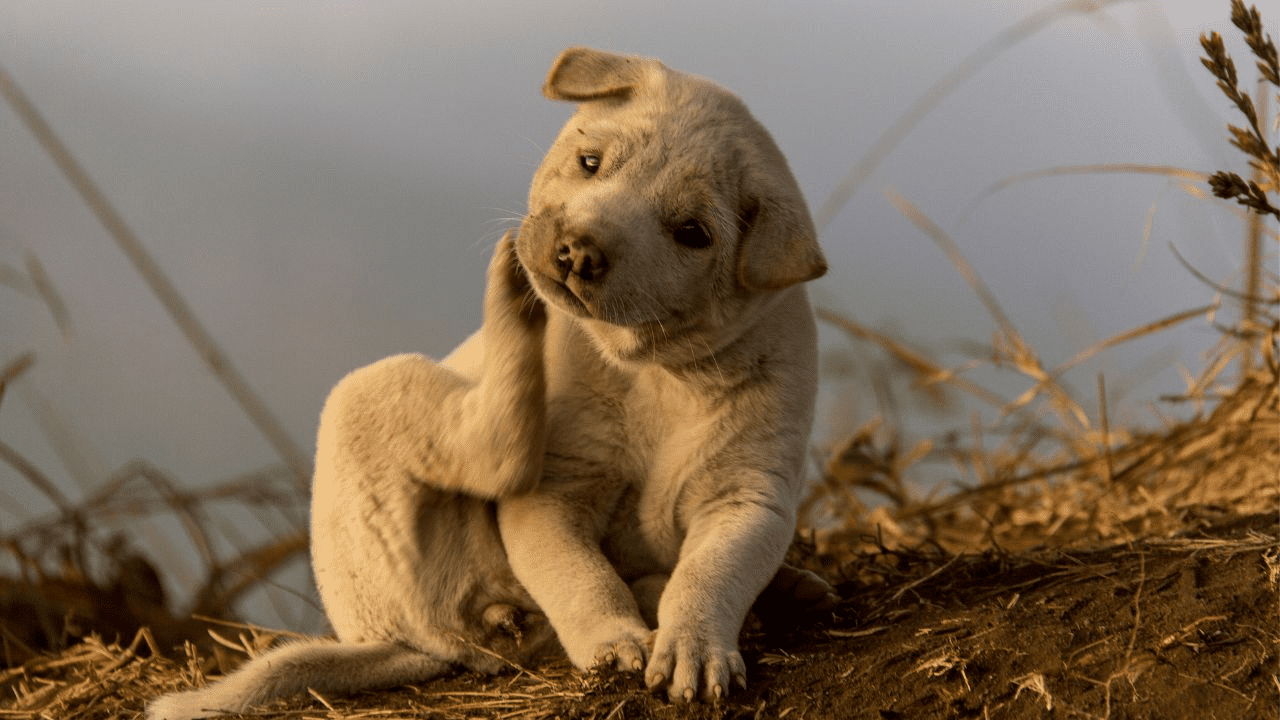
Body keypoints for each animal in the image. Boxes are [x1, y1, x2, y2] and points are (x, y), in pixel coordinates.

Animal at [149, 46, 829, 717]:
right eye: (590, 162)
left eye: (692, 233)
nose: (575, 253)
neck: (654, 370)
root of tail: (401, 647)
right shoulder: (552, 493)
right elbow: (581, 577)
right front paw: (616, 642)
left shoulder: (748, 498)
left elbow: (710, 574)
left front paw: (694, 649)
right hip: (374, 399)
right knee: (492, 453)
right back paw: (509, 297)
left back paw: (786, 592)